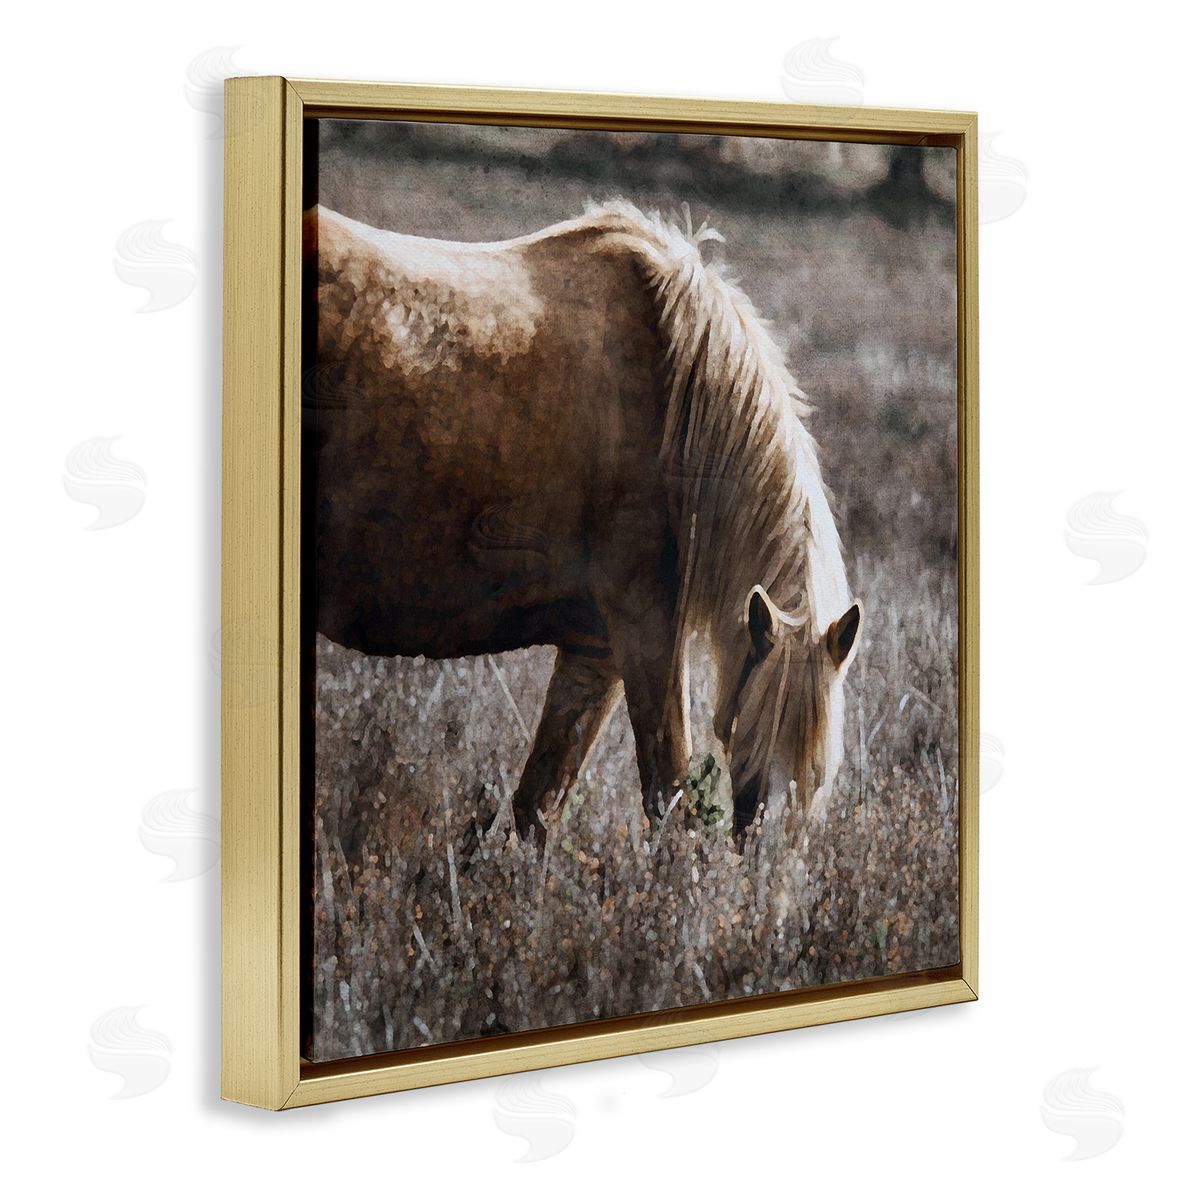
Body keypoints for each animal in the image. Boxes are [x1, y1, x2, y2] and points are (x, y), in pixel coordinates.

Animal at [304, 198, 861, 844]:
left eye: (819, 775)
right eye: (763, 732)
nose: (769, 866)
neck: (675, 395)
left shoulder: (594, 655)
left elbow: (538, 806)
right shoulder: (644, 635)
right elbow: (668, 796)